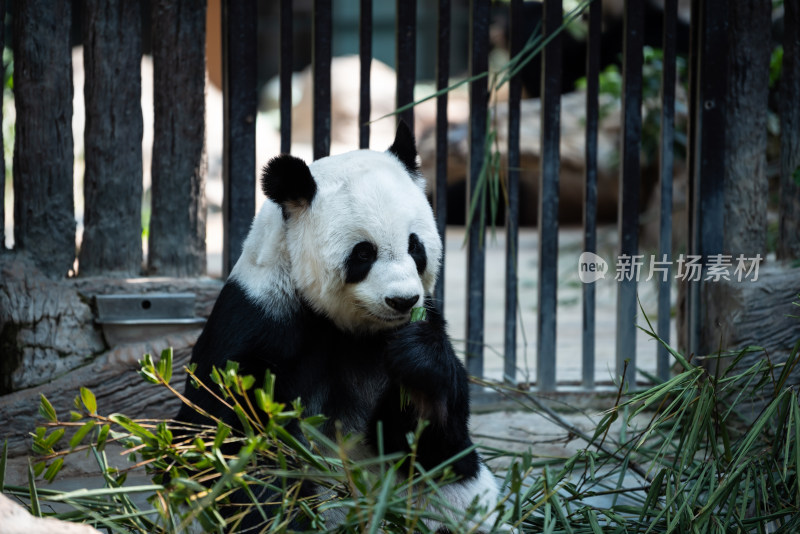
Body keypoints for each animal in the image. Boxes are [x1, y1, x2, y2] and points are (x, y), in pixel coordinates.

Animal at [177, 123, 500, 532]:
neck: (349, 329)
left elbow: (433, 444)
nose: (402, 300)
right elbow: (229, 437)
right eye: (364, 253)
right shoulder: (257, 320)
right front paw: (281, 511)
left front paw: (418, 362)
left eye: (415, 247)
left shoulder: (418, 324)